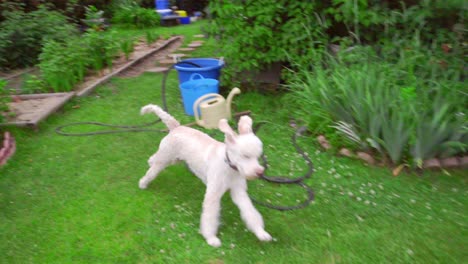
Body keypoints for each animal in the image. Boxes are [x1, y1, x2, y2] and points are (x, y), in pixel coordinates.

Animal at [138, 104, 270, 246]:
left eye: (258, 156)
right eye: (245, 156)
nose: (260, 172)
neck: (229, 167)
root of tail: (176, 126)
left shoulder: (239, 191)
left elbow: (250, 211)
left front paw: (261, 232)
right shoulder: (213, 194)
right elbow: (210, 216)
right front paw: (211, 238)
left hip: (173, 159)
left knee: (153, 159)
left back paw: (149, 163)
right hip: (165, 158)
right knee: (152, 171)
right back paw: (143, 183)